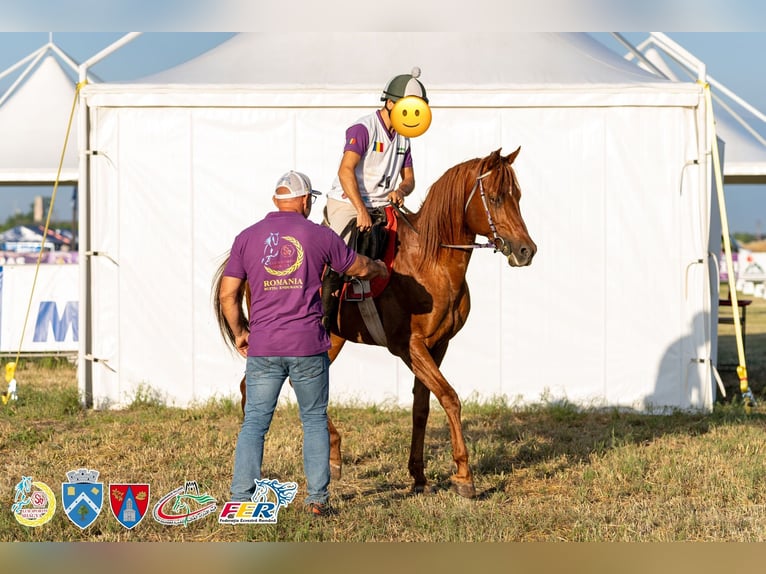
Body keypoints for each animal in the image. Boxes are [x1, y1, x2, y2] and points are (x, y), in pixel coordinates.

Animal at [213, 147, 536, 499]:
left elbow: (422, 407)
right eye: (496, 198)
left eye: (519, 196)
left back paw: (331, 456)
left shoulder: (438, 346)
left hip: (331, 339)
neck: (429, 261)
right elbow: (450, 398)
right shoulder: (409, 347)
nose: (526, 250)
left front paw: (419, 476)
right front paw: (464, 476)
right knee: (259, 388)